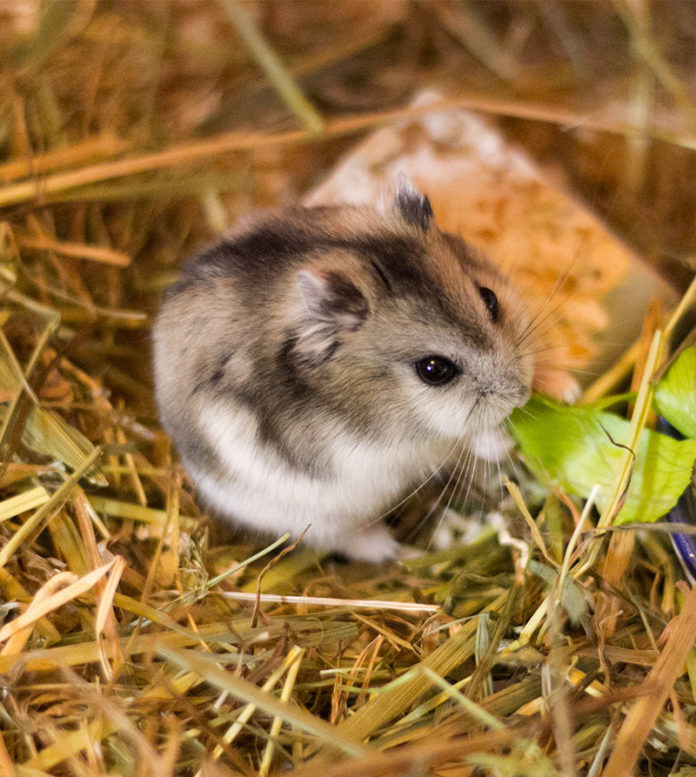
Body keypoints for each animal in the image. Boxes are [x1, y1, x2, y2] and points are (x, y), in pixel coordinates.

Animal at [154, 181, 532, 556]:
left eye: (489, 298)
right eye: (433, 369)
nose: (523, 395)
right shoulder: (388, 454)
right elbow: (450, 442)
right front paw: (505, 445)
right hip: (316, 521)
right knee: (355, 543)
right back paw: (405, 553)